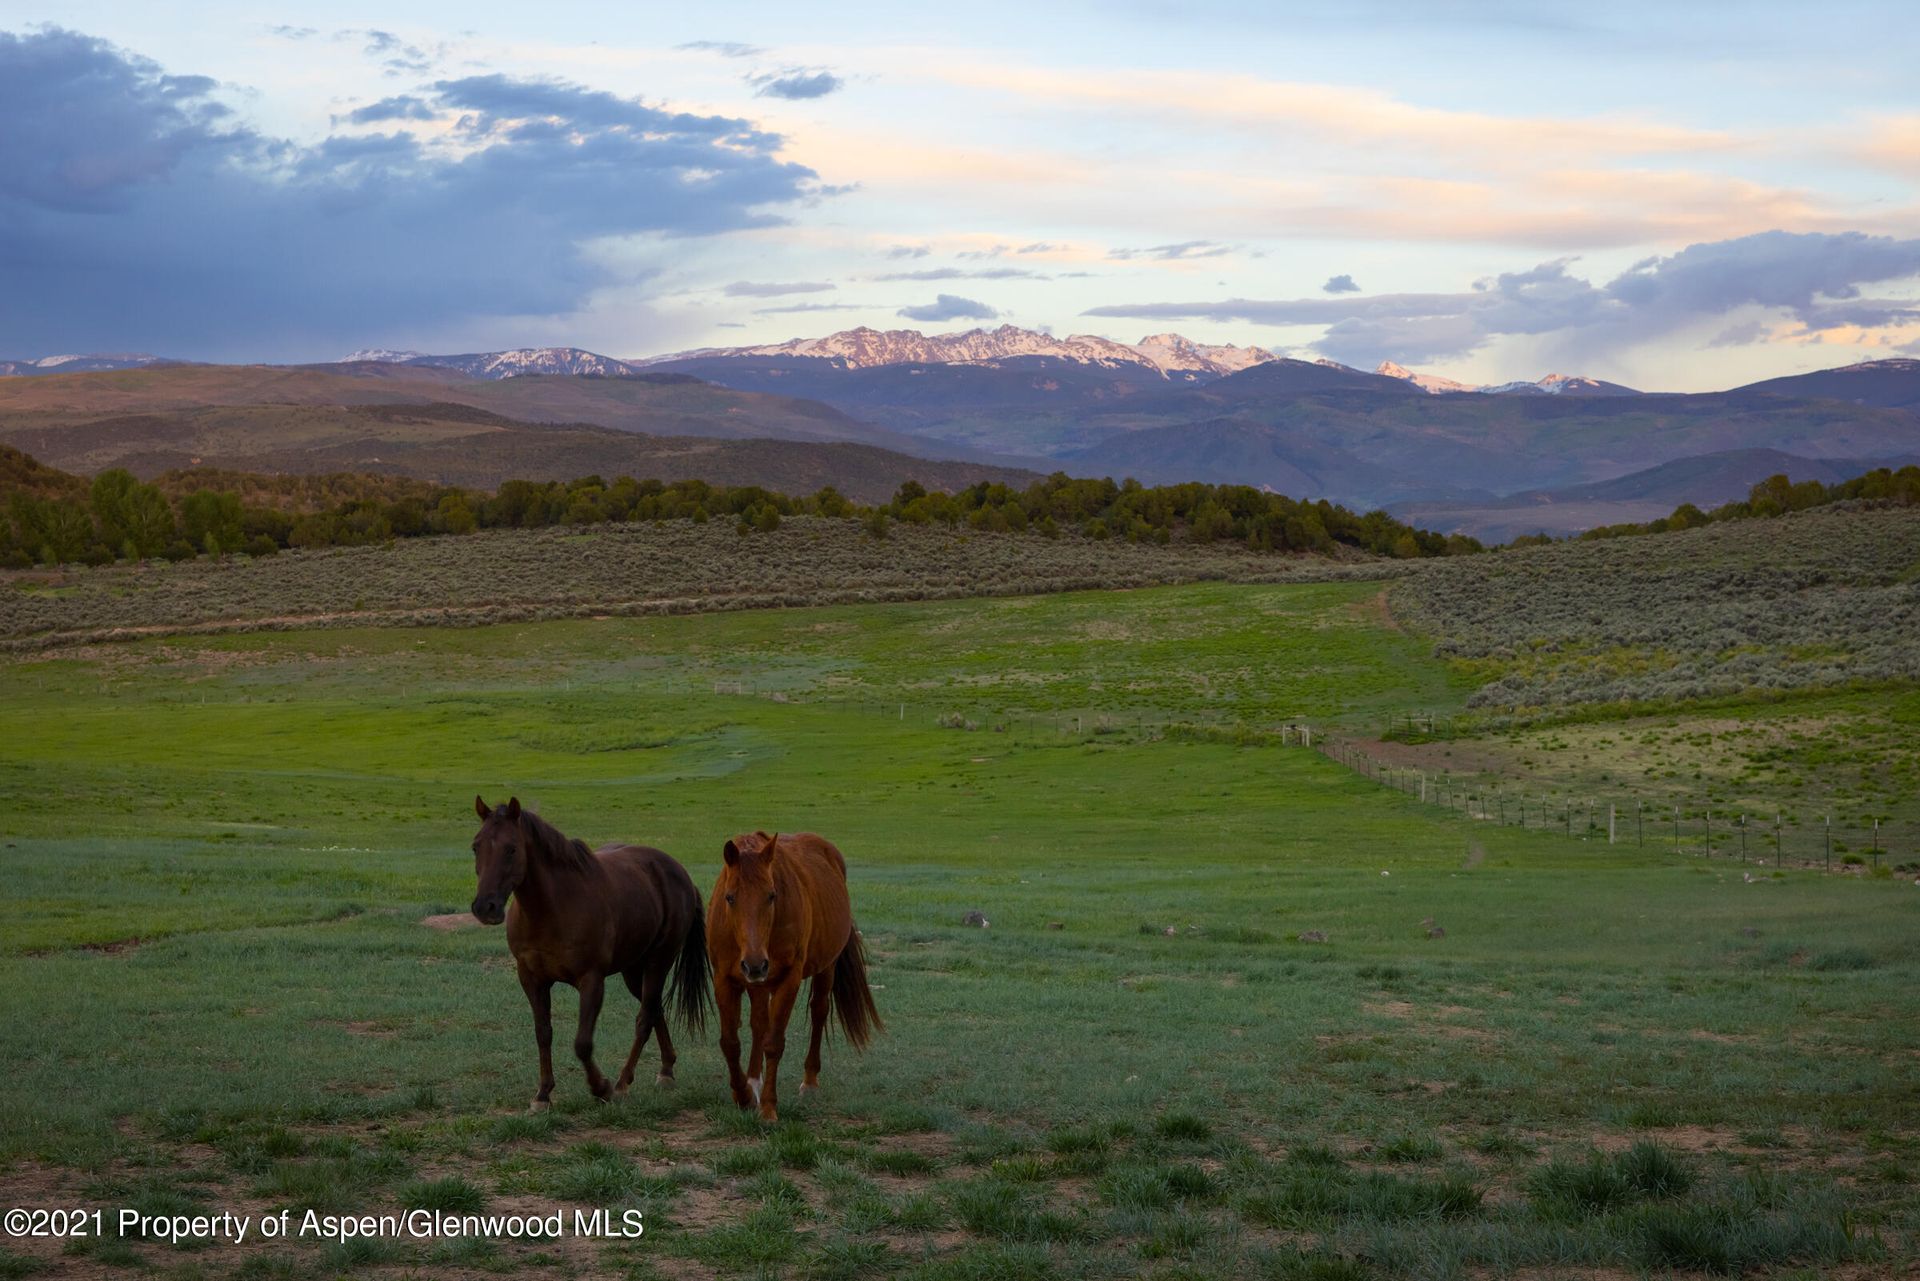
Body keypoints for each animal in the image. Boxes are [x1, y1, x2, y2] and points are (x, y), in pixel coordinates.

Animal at [468, 795, 710, 1106]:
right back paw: (666, 1069)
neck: (552, 908)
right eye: (476, 846)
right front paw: (543, 1093)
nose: (485, 907)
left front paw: (601, 1087)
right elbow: (543, 1033)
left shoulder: (591, 980)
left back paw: (623, 1082)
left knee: (644, 1018)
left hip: (659, 961)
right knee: (655, 1008)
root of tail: (680, 873)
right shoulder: (531, 978)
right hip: (634, 970)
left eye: (511, 849)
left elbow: (582, 1043)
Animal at [710, 833, 879, 1121]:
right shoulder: (723, 979)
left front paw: (768, 1108)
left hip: (825, 967)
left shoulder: (788, 980)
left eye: (771, 895)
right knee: (759, 1023)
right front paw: (744, 1095)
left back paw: (809, 1082)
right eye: (729, 897)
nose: (754, 965)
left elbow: (774, 1043)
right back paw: (753, 1080)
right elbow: (731, 1042)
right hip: (758, 983)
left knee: (818, 1011)